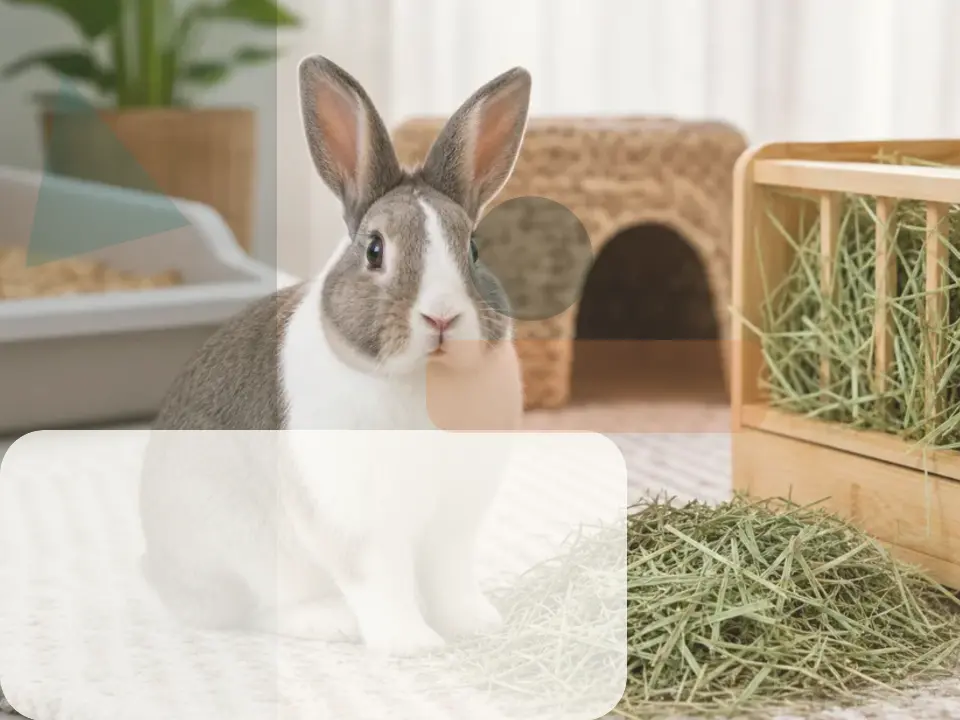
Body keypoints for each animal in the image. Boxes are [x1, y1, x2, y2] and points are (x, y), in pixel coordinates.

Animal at [137, 54, 532, 657]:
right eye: (374, 250)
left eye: (473, 248)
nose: (442, 317)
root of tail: (159, 571)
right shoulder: (362, 525)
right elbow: (382, 582)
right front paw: (413, 644)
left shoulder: (452, 523)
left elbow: (449, 577)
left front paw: (475, 625)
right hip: (241, 544)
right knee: (254, 609)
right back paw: (331, 622)